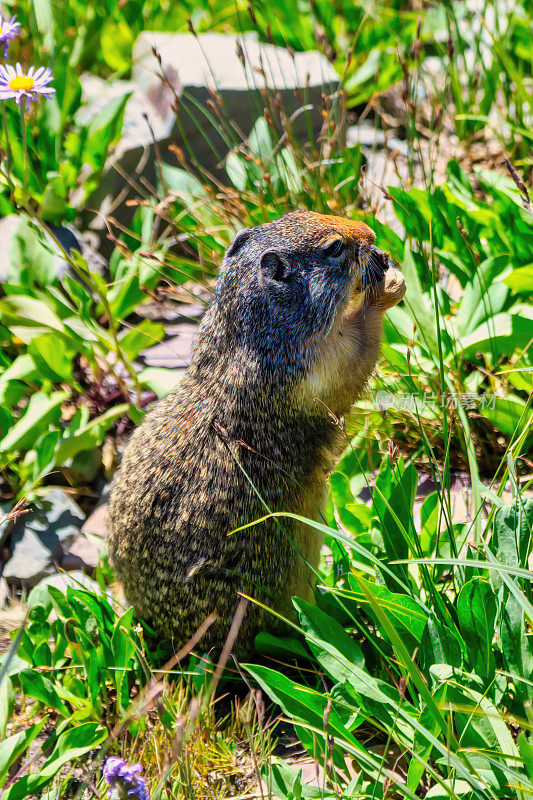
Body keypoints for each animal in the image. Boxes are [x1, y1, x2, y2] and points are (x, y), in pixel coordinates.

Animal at [109, 212, 408, 656]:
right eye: (334, 246)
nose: (371, 234)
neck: (253, 324)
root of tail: (172, 641)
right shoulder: (321, 365)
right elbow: (360, 350)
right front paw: (388, 288)